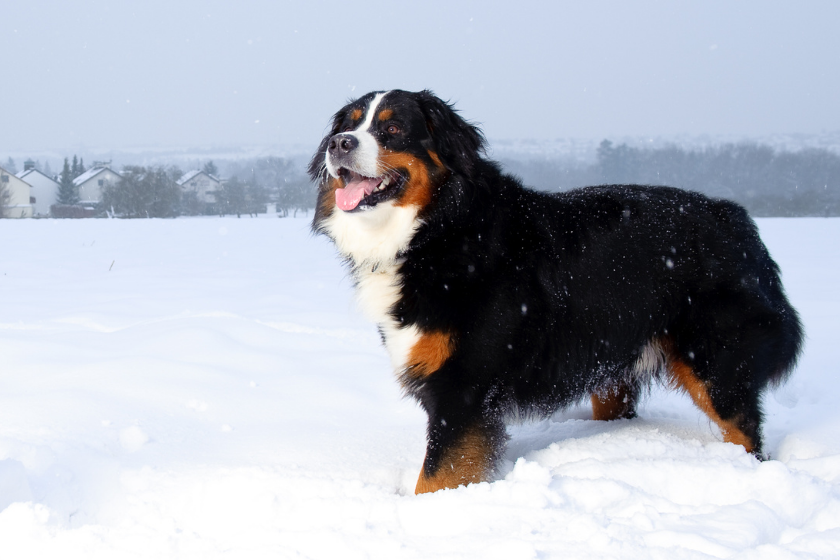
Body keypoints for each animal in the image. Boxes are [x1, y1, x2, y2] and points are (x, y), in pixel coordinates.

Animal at [306, 88, 800, 494]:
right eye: (349, 124)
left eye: (392, 128)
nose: (339, 144)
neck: (438, 231)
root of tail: (737, 218)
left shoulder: (463, 387)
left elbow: (436, 476)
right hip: (612, 367)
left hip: (716, 363)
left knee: (745, 431)